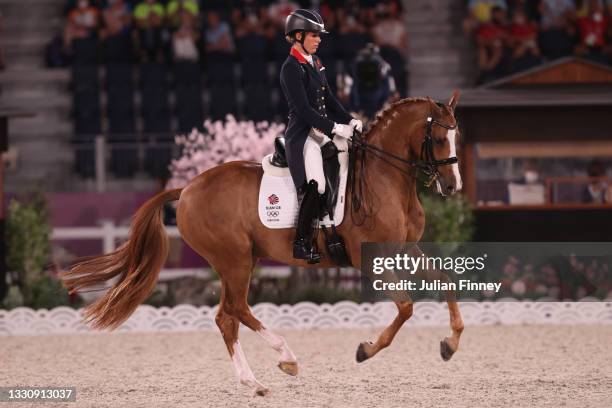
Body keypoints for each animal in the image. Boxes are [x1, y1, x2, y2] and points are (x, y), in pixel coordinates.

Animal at [62, 91, 464, 396]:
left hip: (238, 262)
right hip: (235, 260)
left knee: (226, 317)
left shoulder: (405, 250)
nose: (452, 186)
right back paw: (287, 358)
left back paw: (253, 382)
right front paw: (365, 351)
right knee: (237, 309)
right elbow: (406, 306)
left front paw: (450, 345)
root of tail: (187, 188)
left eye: (457, 137)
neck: (385, 178)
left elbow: (445, 283)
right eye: (438, 138)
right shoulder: (367, 258)